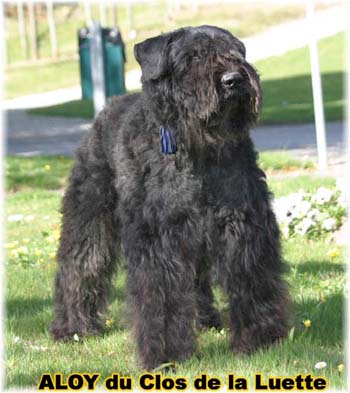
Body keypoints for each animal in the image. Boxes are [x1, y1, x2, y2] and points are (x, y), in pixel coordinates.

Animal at [52, 24, 292, 368]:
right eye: (192, 57)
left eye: (236, 52)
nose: (233, 79)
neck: (197, 150)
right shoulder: (159, 237)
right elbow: (161, 294)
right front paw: (166, 356)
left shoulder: (242, 225)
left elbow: (251, 278)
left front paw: (262, 338)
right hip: (90, 214)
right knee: (81, 263)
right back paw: (73, 327)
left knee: (197, 281)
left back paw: (206, 321)